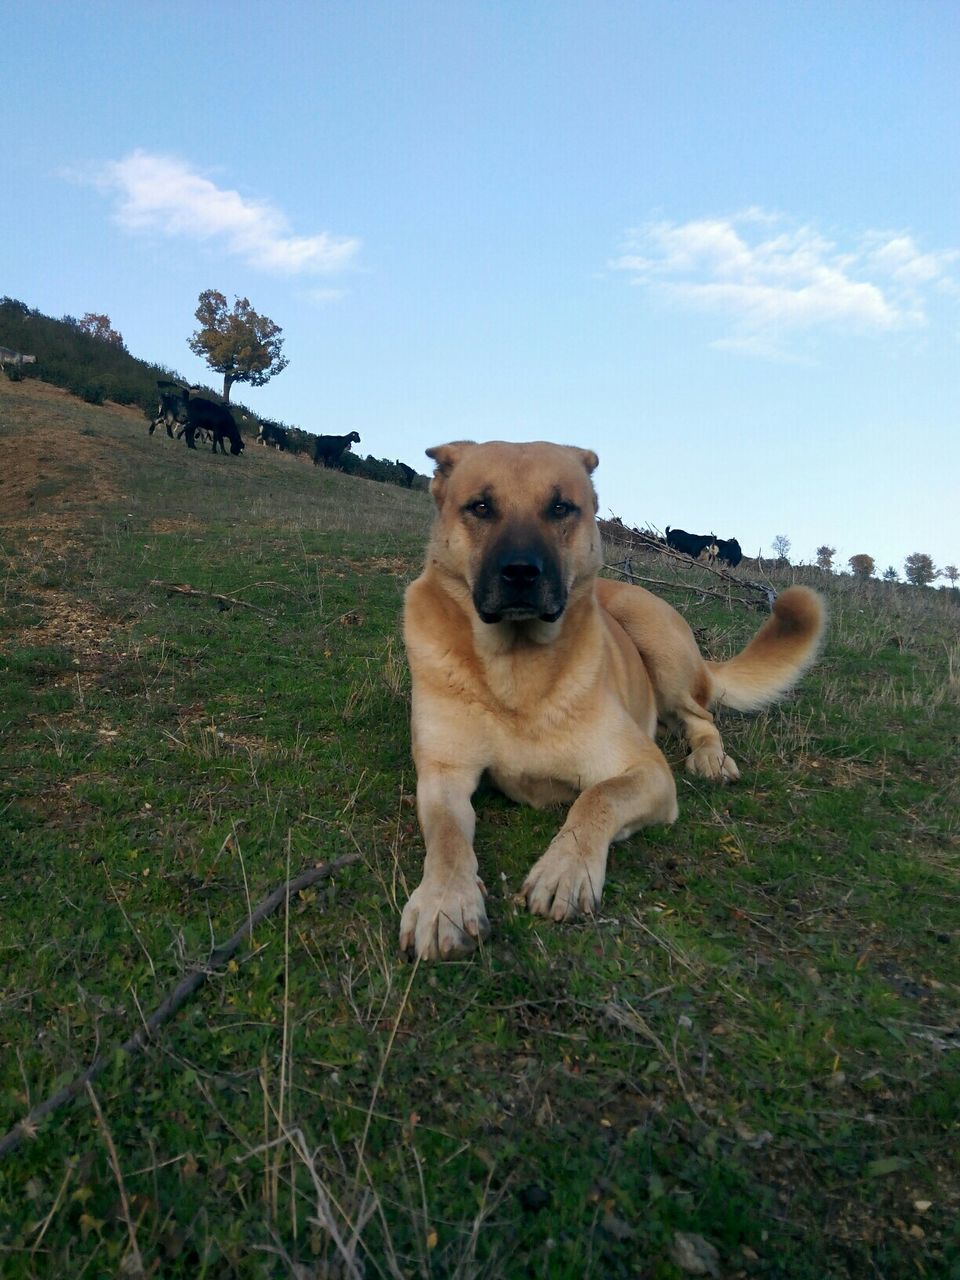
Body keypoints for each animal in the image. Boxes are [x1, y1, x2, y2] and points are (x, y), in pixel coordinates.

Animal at [401, 445, 824, 957]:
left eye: (560, 508)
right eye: (480, 507)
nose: (521, 573)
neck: (516, 672)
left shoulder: (648, 772)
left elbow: (595, 799)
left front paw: (566, 869)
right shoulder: (443, 775)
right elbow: (446, 836)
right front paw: (445, 900)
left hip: (653, 633)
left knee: (701, 715)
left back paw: (710, 756)